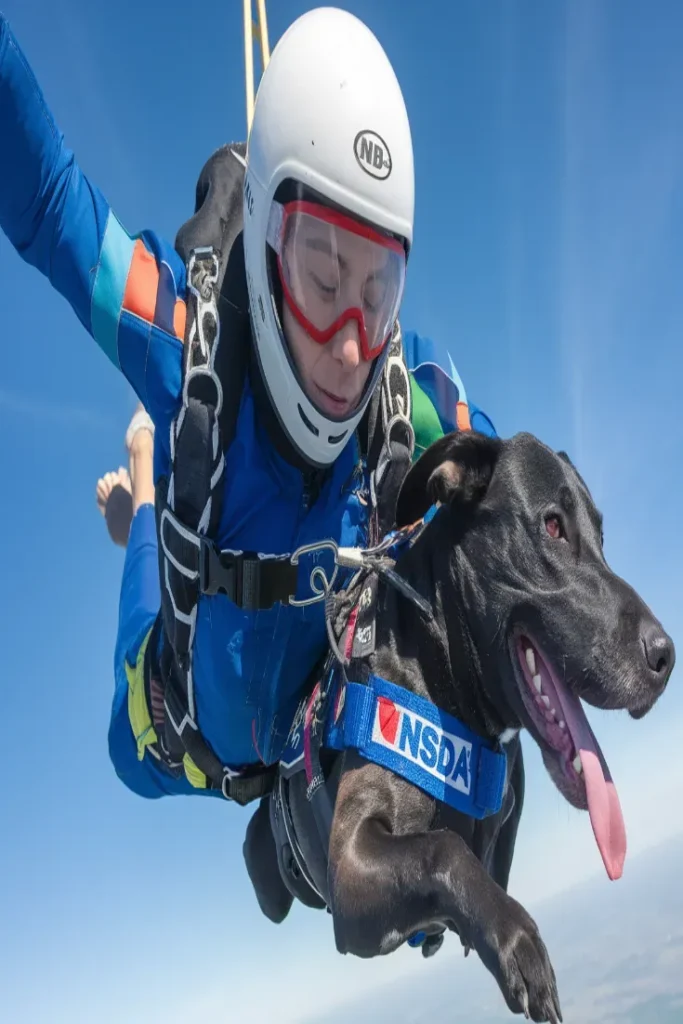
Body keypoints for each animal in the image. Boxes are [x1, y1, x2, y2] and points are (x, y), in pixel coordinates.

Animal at [242, 428, 675, 1019]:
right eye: (553, 526)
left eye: (602, 537)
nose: (665, 657)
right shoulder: (350, 863)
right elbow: (443, 847)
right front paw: (515, 938)